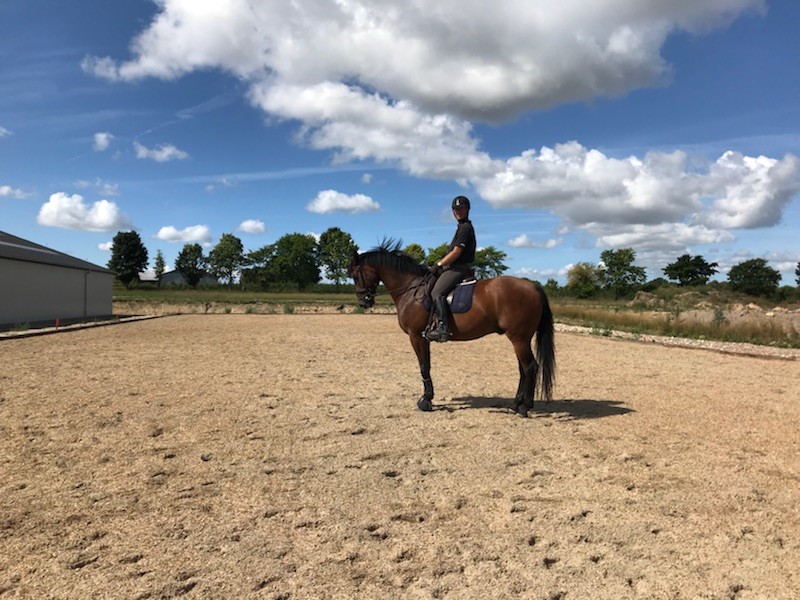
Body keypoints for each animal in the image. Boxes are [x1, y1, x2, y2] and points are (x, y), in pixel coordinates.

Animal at [348, 242, 555, 417]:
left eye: (356, 275)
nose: (364, 302)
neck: (410, 289)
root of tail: (534, 287)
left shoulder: (416, 336)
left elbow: (423, 366)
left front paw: (425, 401)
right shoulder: (423, 337)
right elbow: (426, 365)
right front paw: (428, 398)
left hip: (519, 338)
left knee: (530, 367)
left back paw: (524, 407)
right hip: (519, 338)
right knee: (523, 369)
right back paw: (515, 404)